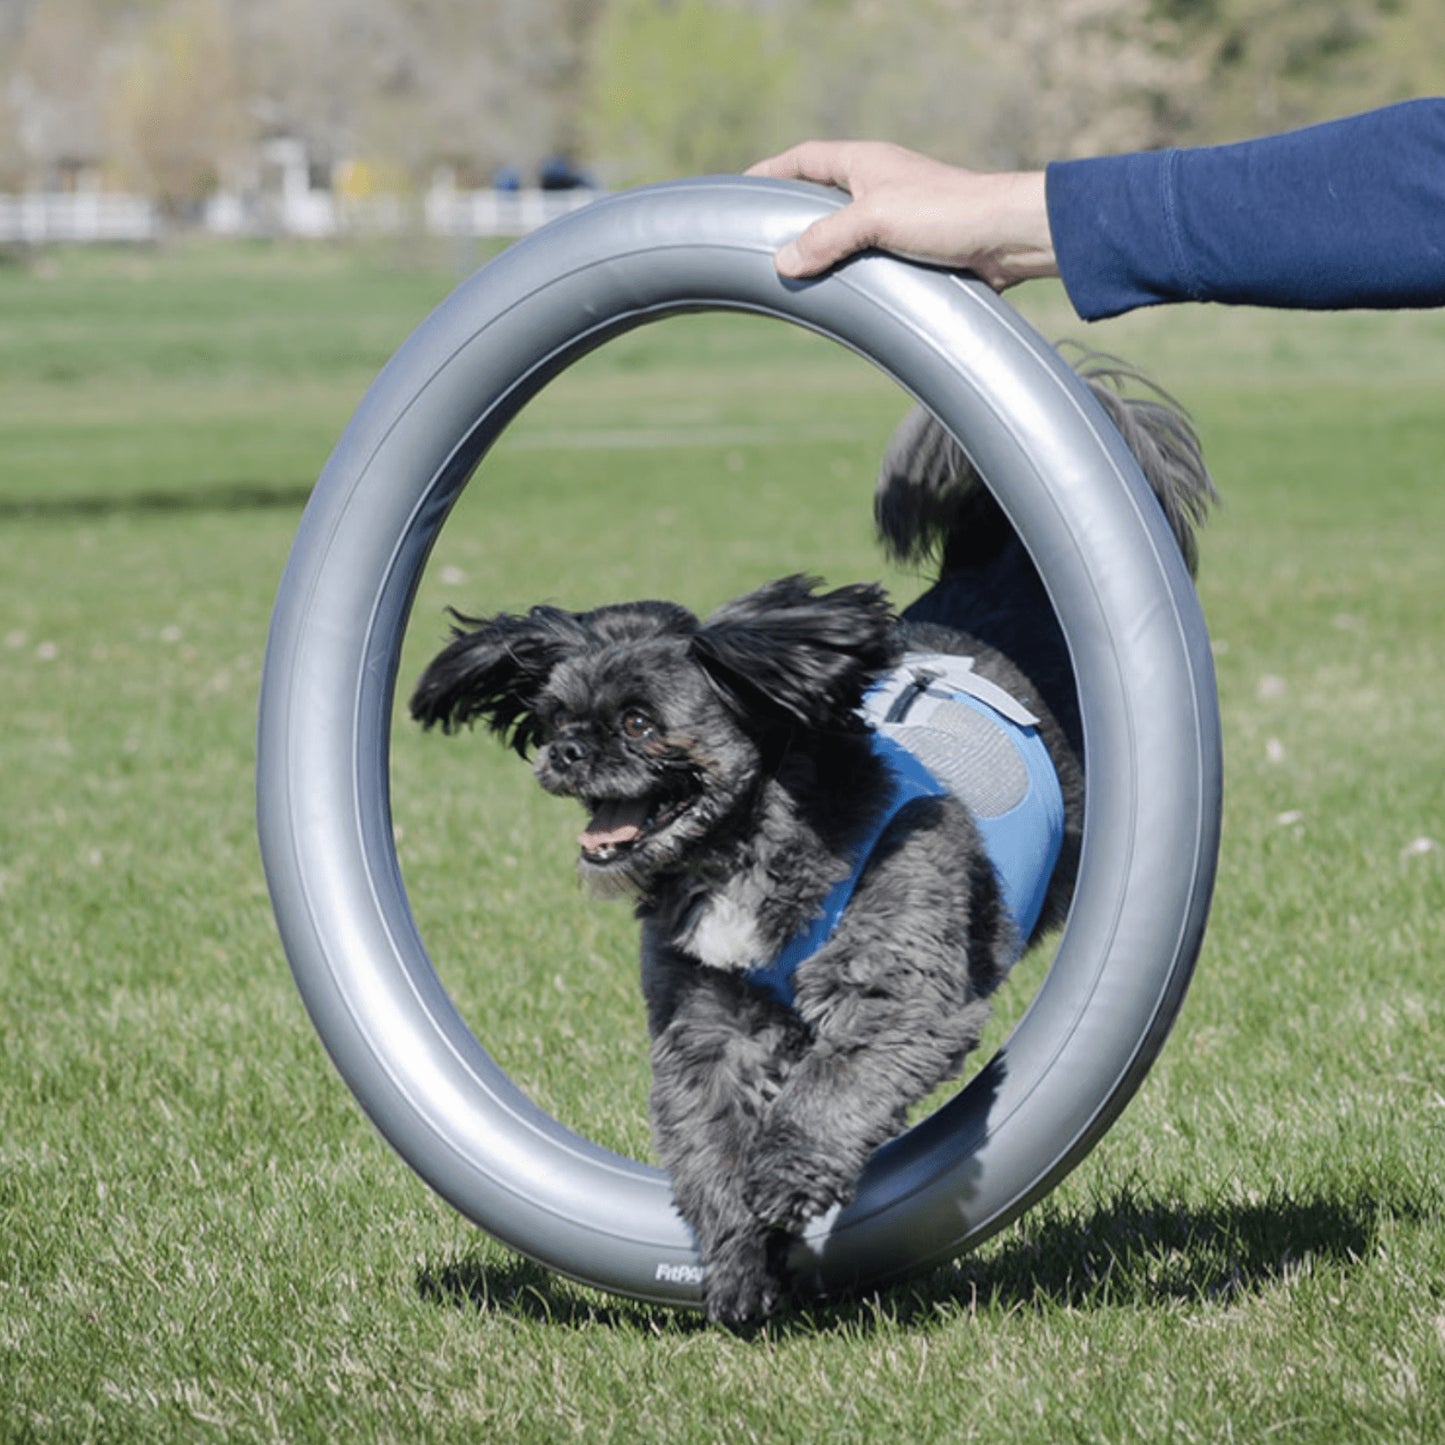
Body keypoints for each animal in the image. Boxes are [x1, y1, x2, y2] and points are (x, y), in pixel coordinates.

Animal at [413, 355, 1213, 1323]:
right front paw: (737, 1263)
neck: (747, 848)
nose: (565, 751)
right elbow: (707, 1146)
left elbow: (832, 1087)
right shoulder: (705, 1027)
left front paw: (786, 1178)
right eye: (554, 715)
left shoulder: (895, 995)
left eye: (639, 722)